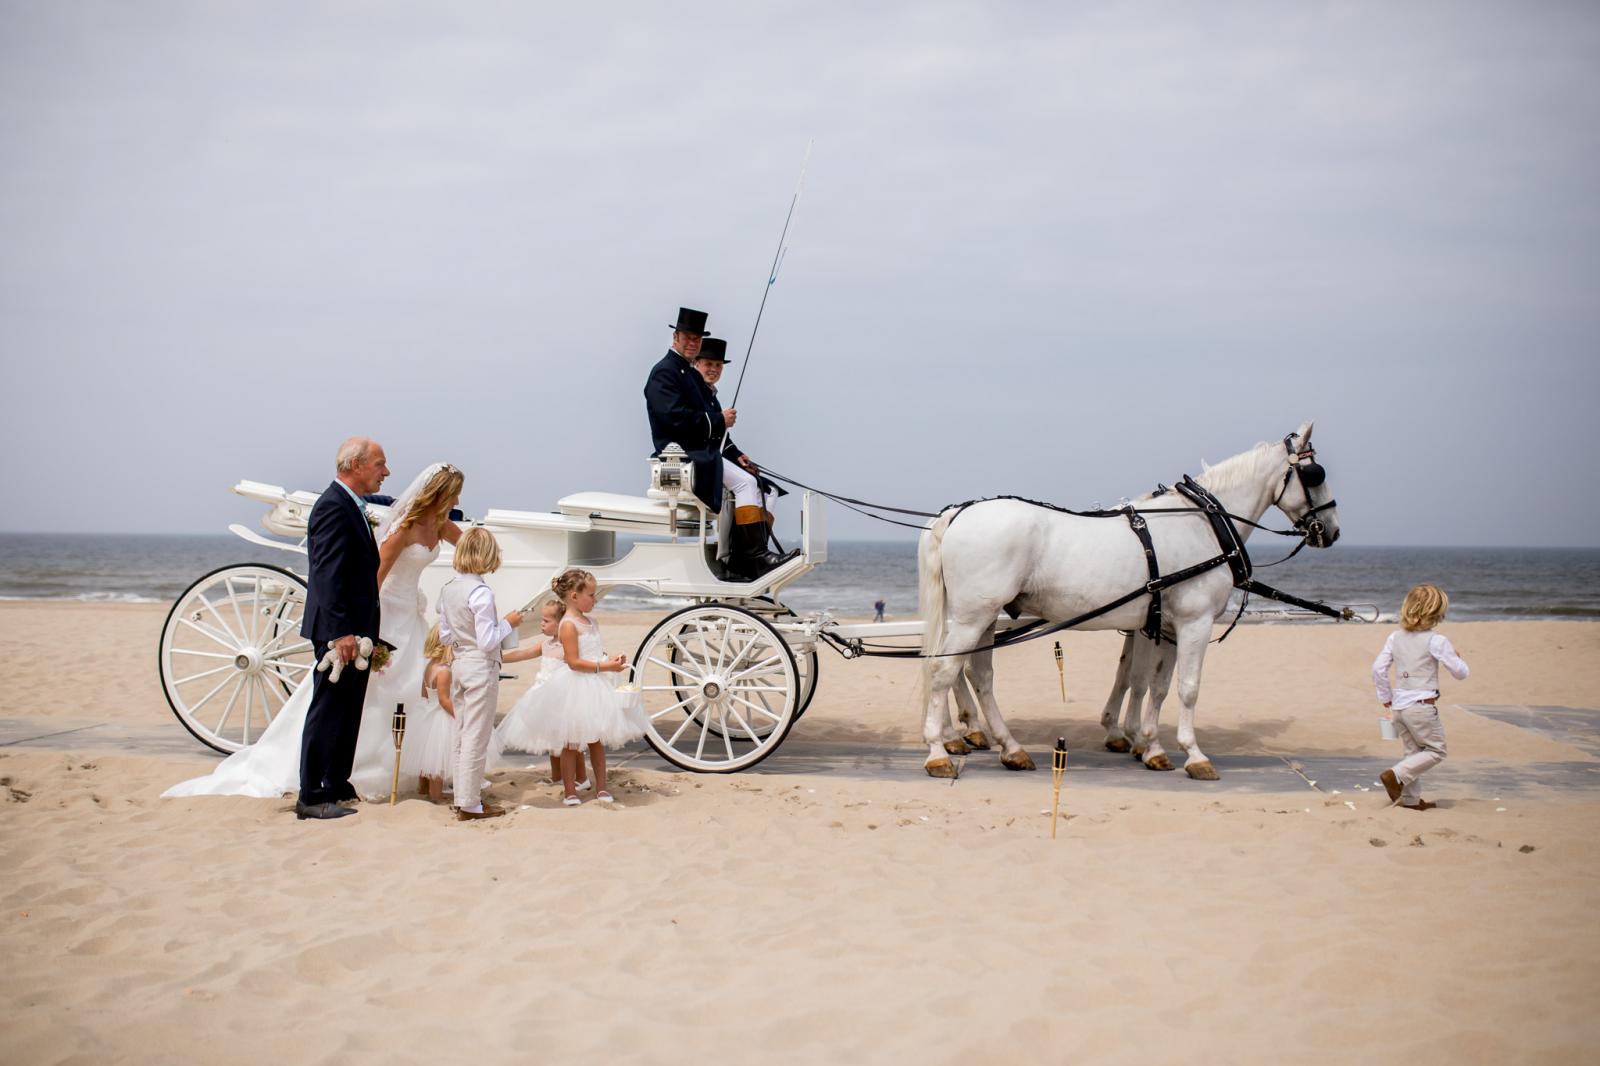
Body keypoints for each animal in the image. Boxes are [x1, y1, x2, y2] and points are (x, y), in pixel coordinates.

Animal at [921, 419, 1344, 777]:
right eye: (1316, 474)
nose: (1332, 531)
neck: (1202, 523)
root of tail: (958, 513)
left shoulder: (1166, 626)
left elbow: (1155, 685)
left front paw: (1151, 746)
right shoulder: (1195, 621)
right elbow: (1188, 687)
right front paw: (1194, 754)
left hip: (986, 615)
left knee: (979, 675)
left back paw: (1010, 749)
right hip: (973, 616)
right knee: (944, 671)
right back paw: (938, 751)